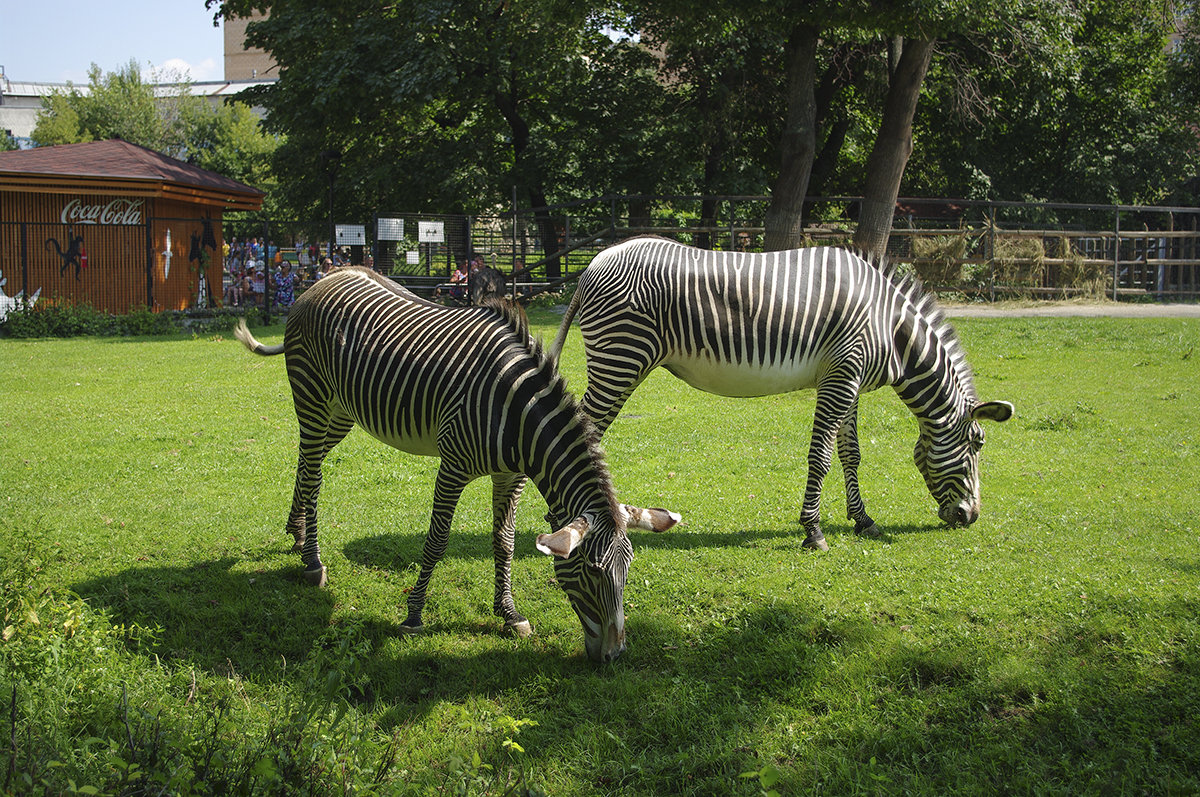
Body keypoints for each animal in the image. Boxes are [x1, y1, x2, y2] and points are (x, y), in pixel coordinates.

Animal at [231, 266, 676, 657]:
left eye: (628, 570)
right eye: (592, 571)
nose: (614, 656)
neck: (518, 416)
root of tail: (323, 280)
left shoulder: (510, 475)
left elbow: (505, 541)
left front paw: (509, 613)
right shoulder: (453, 466)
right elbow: (437, 540)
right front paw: (413, 615)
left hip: (340, 412)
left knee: (308, 466)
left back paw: (297, 532)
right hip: (312, 397)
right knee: (313, 474)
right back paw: (312, 561)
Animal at [549, 236, 1012, 547]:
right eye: (978, 443)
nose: (970, 517)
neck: (892, 329)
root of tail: (594, 263)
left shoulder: (851, 379)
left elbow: (851, 453)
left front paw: (863, 520)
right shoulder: (841, 374)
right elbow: (820, 456)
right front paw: (813, 530)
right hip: (621, 358)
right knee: (579, 432)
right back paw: (561, 520)